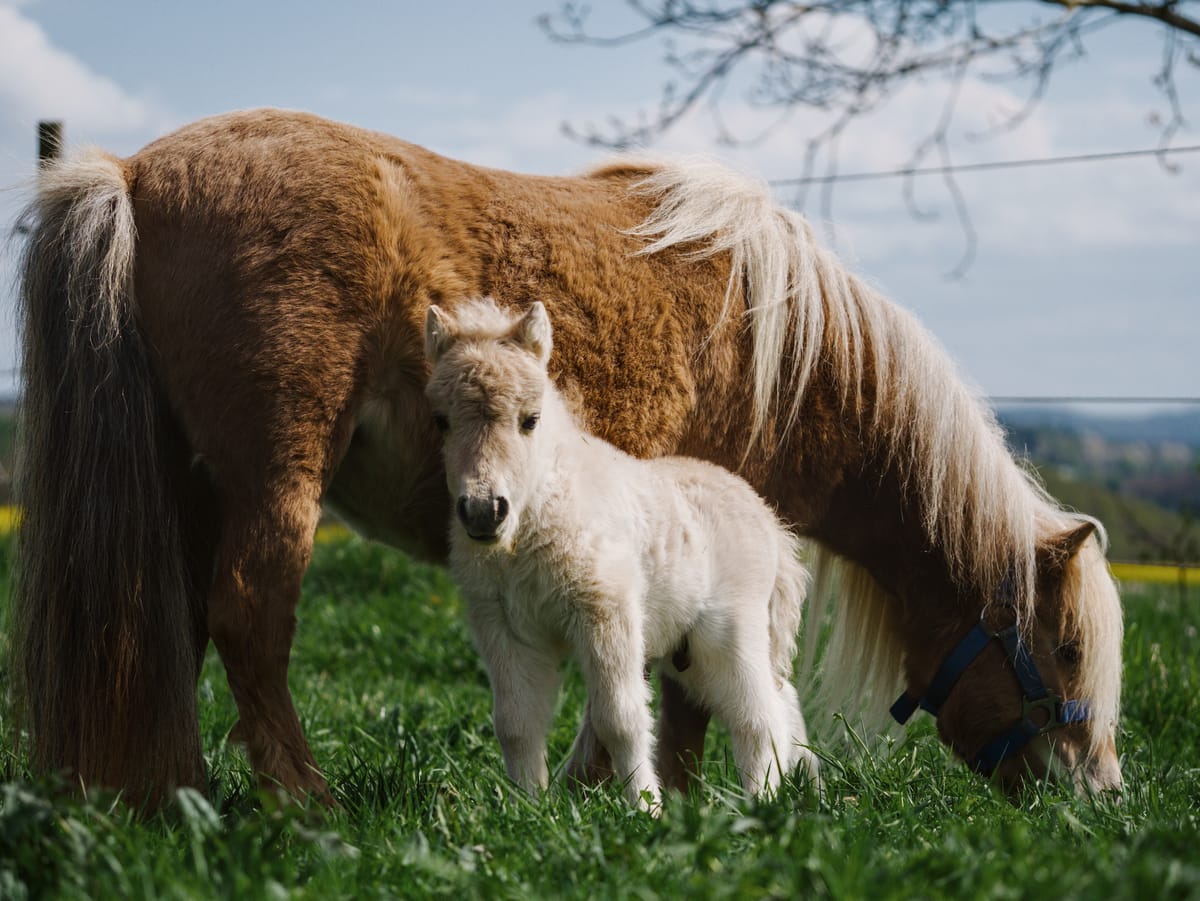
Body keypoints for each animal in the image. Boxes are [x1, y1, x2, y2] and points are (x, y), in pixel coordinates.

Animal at [424, 297, 819, 809]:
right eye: (442, 420)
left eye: (530, 419)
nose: (483, 512)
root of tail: (770, 524)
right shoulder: (504, 627)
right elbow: (516, 724)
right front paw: (528, 808)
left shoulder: (606, 614)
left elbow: (620, 720)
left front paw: (645, 808)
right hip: (689, 653)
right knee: (782, 698)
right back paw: (810, 787)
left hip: (730, 634)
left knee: (759, 716)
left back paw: (761, 803)